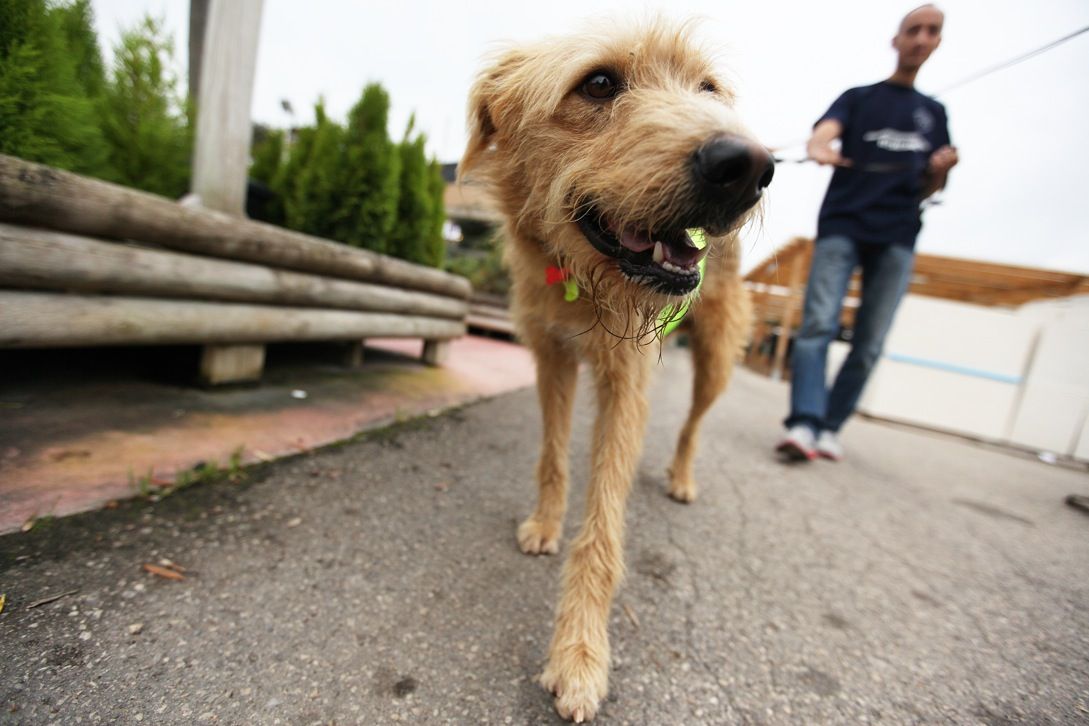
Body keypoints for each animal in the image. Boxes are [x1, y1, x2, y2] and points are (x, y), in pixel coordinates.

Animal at [459, 17, 775, 722]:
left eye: (707, 88)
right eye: (599, 83)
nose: (749, 164)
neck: (577, 281)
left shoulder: (625, 382)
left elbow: (603, 524)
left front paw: (579, 654)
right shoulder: (550, 358)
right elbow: (553, 457)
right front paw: (547, 523)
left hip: (716, 360)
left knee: (693, 422)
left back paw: (681, 476)